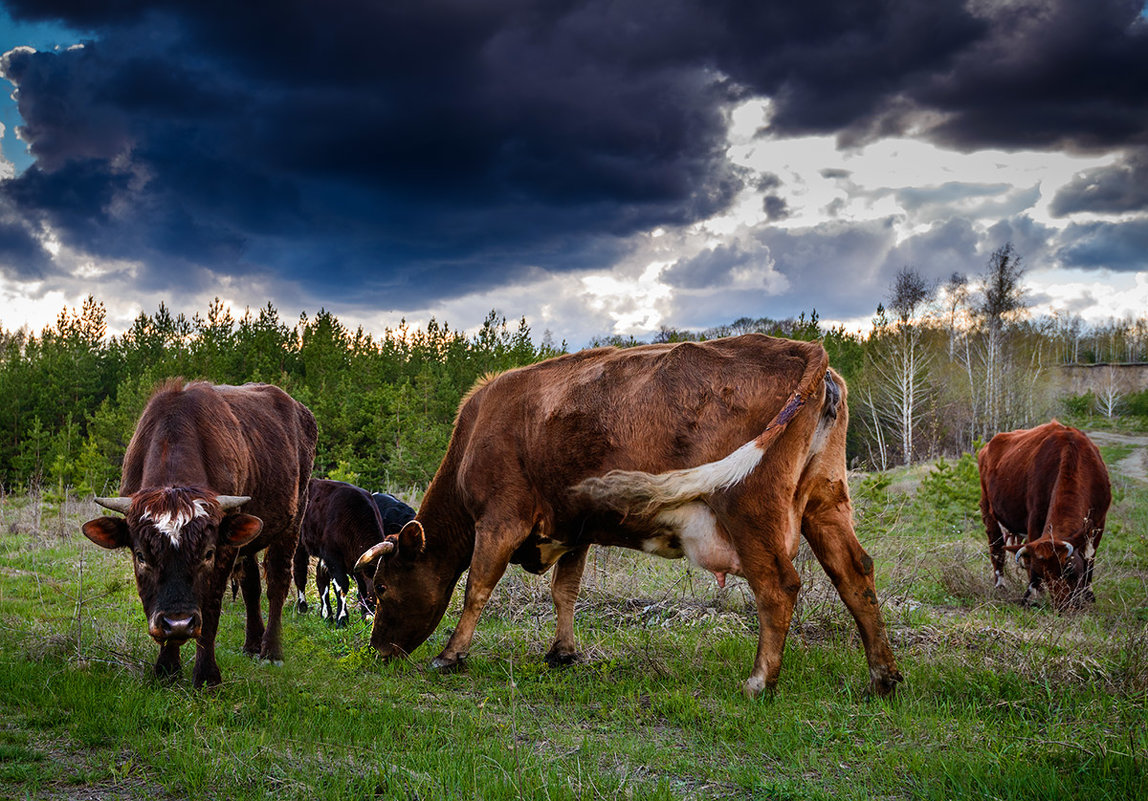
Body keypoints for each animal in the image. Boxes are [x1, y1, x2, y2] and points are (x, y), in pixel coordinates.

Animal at [80, 380, 316, 688]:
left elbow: (212, 608)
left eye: (207, 554)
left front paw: (206, 675)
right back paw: (252, 643)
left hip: (293, 521)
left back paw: (270, 651)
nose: (178, 623)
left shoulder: (224, 550)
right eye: (141, 556)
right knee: (252, 584)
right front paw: (166, 669)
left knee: (277, 582)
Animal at [358, 332, 904, 697]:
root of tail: (804, 349)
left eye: (382, 587)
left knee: (777, 587)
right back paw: (883, 677)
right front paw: (562, 653)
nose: (376, 650)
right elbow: (565, 591)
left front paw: (451, 655)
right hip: (825, 501)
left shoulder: (499, 518)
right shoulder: (572, 526)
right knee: (855, 573)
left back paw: (757, 682)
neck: (477, 430)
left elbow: (477, 588)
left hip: (750, 508)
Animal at [978, 417, 1111, 605]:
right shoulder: (1035, 518)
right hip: (989, 512)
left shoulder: (1099, 522)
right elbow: (1031, 556)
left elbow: (1089, 558)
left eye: (1069, 570)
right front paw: (1032, 594)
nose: (1063, 604)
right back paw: (1000, 585)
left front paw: (1088, 595)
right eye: (1042, 572)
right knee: (997, 550)